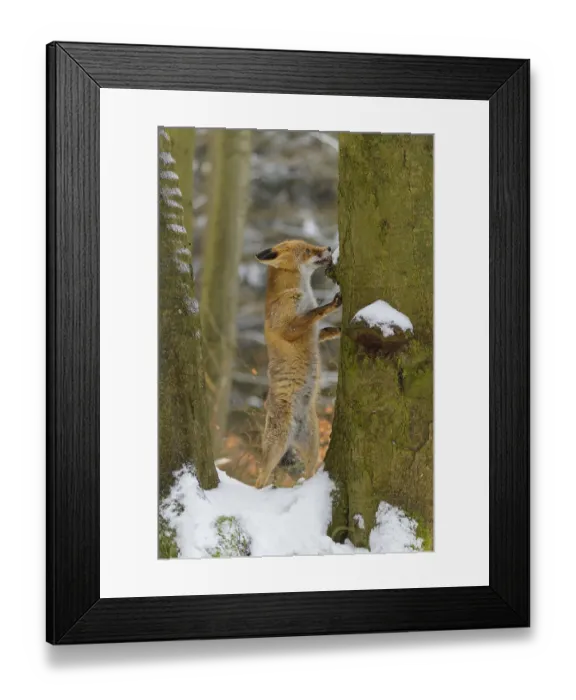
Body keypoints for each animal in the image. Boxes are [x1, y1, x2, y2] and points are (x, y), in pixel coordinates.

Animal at [254, 239, 342, 489]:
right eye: (309, 250)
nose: (329, 248)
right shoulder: (288, 328)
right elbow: (314, 313)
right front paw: (331, 305)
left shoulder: (312, 333)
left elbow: (322, 330)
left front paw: (339, 330)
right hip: (276, 447)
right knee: (260, 479)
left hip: (312, 445)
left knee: (310, 471)